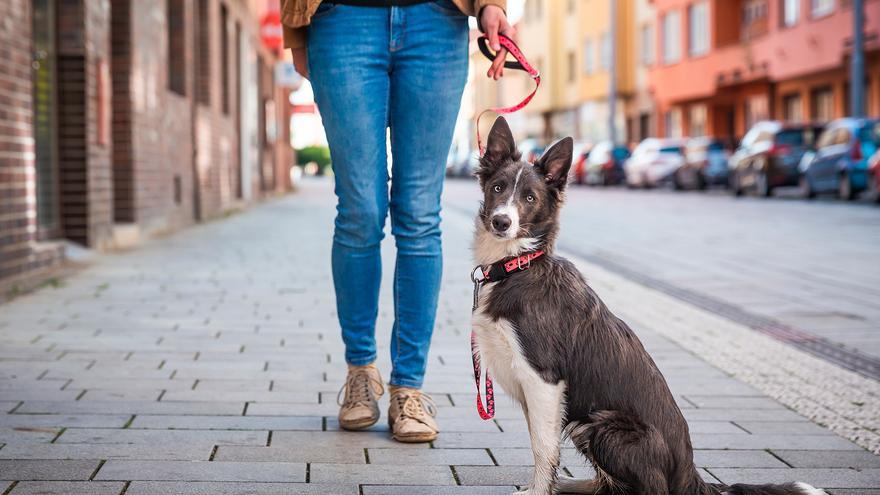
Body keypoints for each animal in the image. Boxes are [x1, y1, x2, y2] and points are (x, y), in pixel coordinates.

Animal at [470, 118, 820, 495]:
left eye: (530, 198)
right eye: (498, 188)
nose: (501, 222)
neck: (518, 265)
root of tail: (690, 475)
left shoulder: (543, 379)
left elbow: (542, 448)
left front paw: (540, 491)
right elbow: (541, 444)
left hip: (604, 425)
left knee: (647, 488)